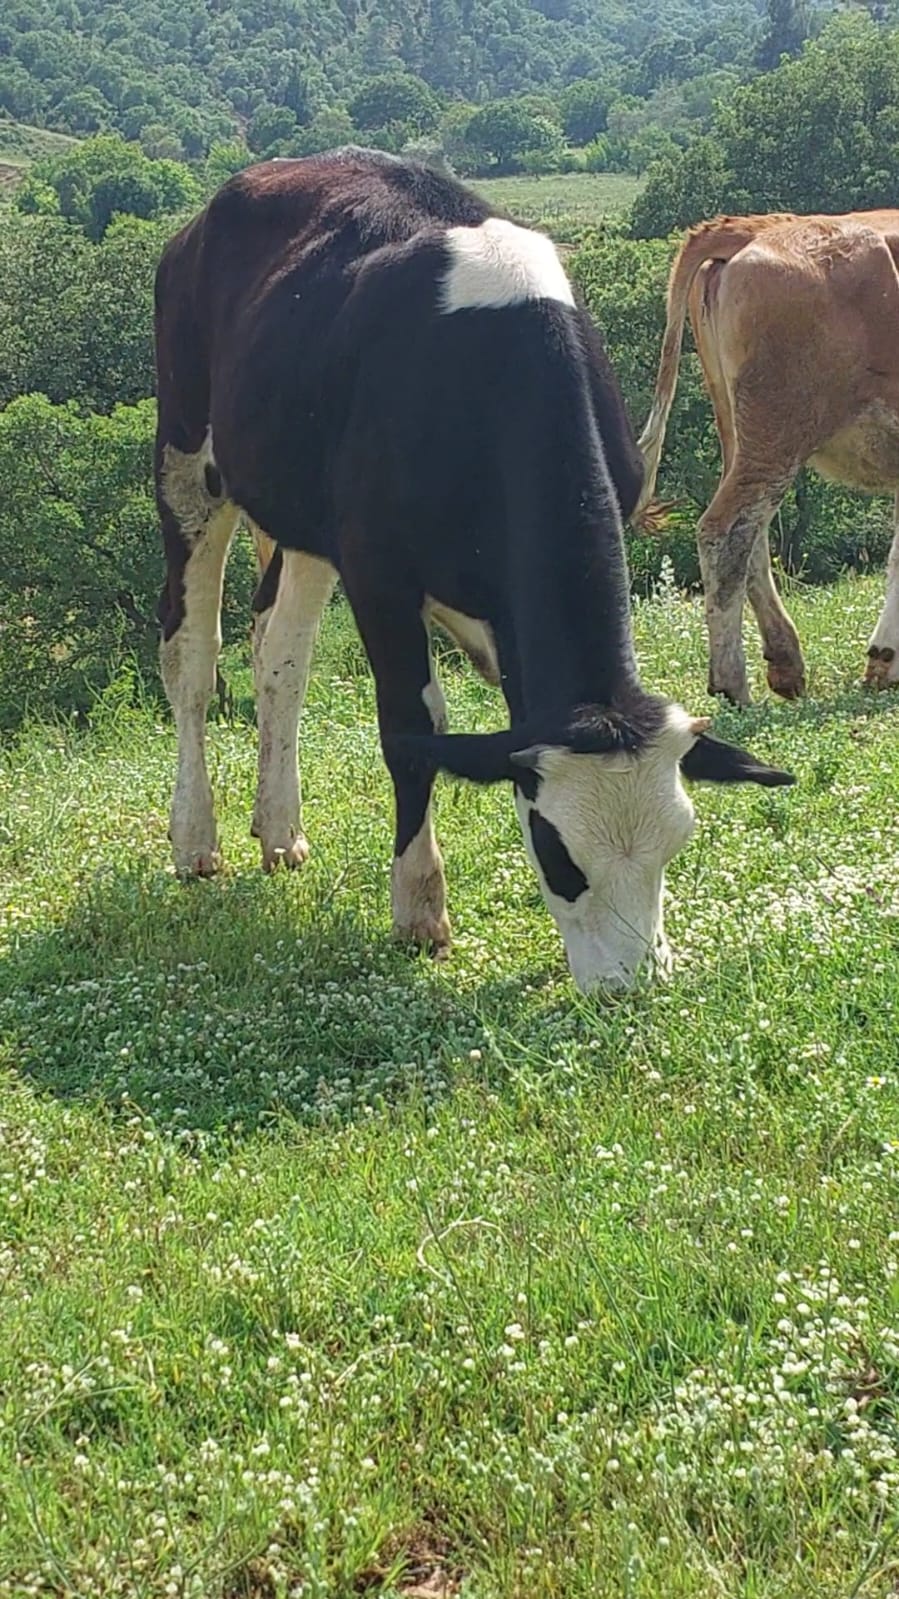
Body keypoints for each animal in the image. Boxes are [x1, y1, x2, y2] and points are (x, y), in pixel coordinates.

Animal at [153, 155, 790, 991]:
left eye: (676, 842)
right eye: (556, 852)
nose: (629, 986)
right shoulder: (378, 572)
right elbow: (411, 729)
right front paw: (418, 903)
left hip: (304, 518)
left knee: (279, 655)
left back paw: (279, 827)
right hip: (188, 463)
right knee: (190, 657)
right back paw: (196, 838)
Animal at [633, 211, 895, 706]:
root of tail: (756, 227)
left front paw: (883, 662)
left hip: (743, 433)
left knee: (750, 537)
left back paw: (784, 662)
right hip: (778, 431)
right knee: (726, 530)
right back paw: (731, 681)